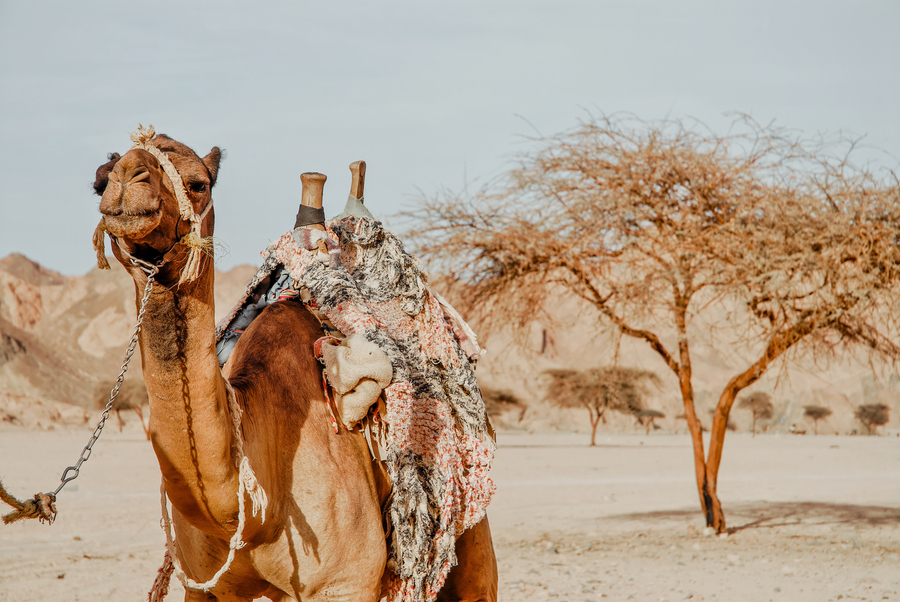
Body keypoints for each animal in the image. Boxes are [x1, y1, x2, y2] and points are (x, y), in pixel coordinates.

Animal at [95, 129, 502, 596]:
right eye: (100, 179)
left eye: (198, 184)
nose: (128, 177)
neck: (252, 513)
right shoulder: (210, 587)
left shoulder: (344, 584)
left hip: (471, 539)